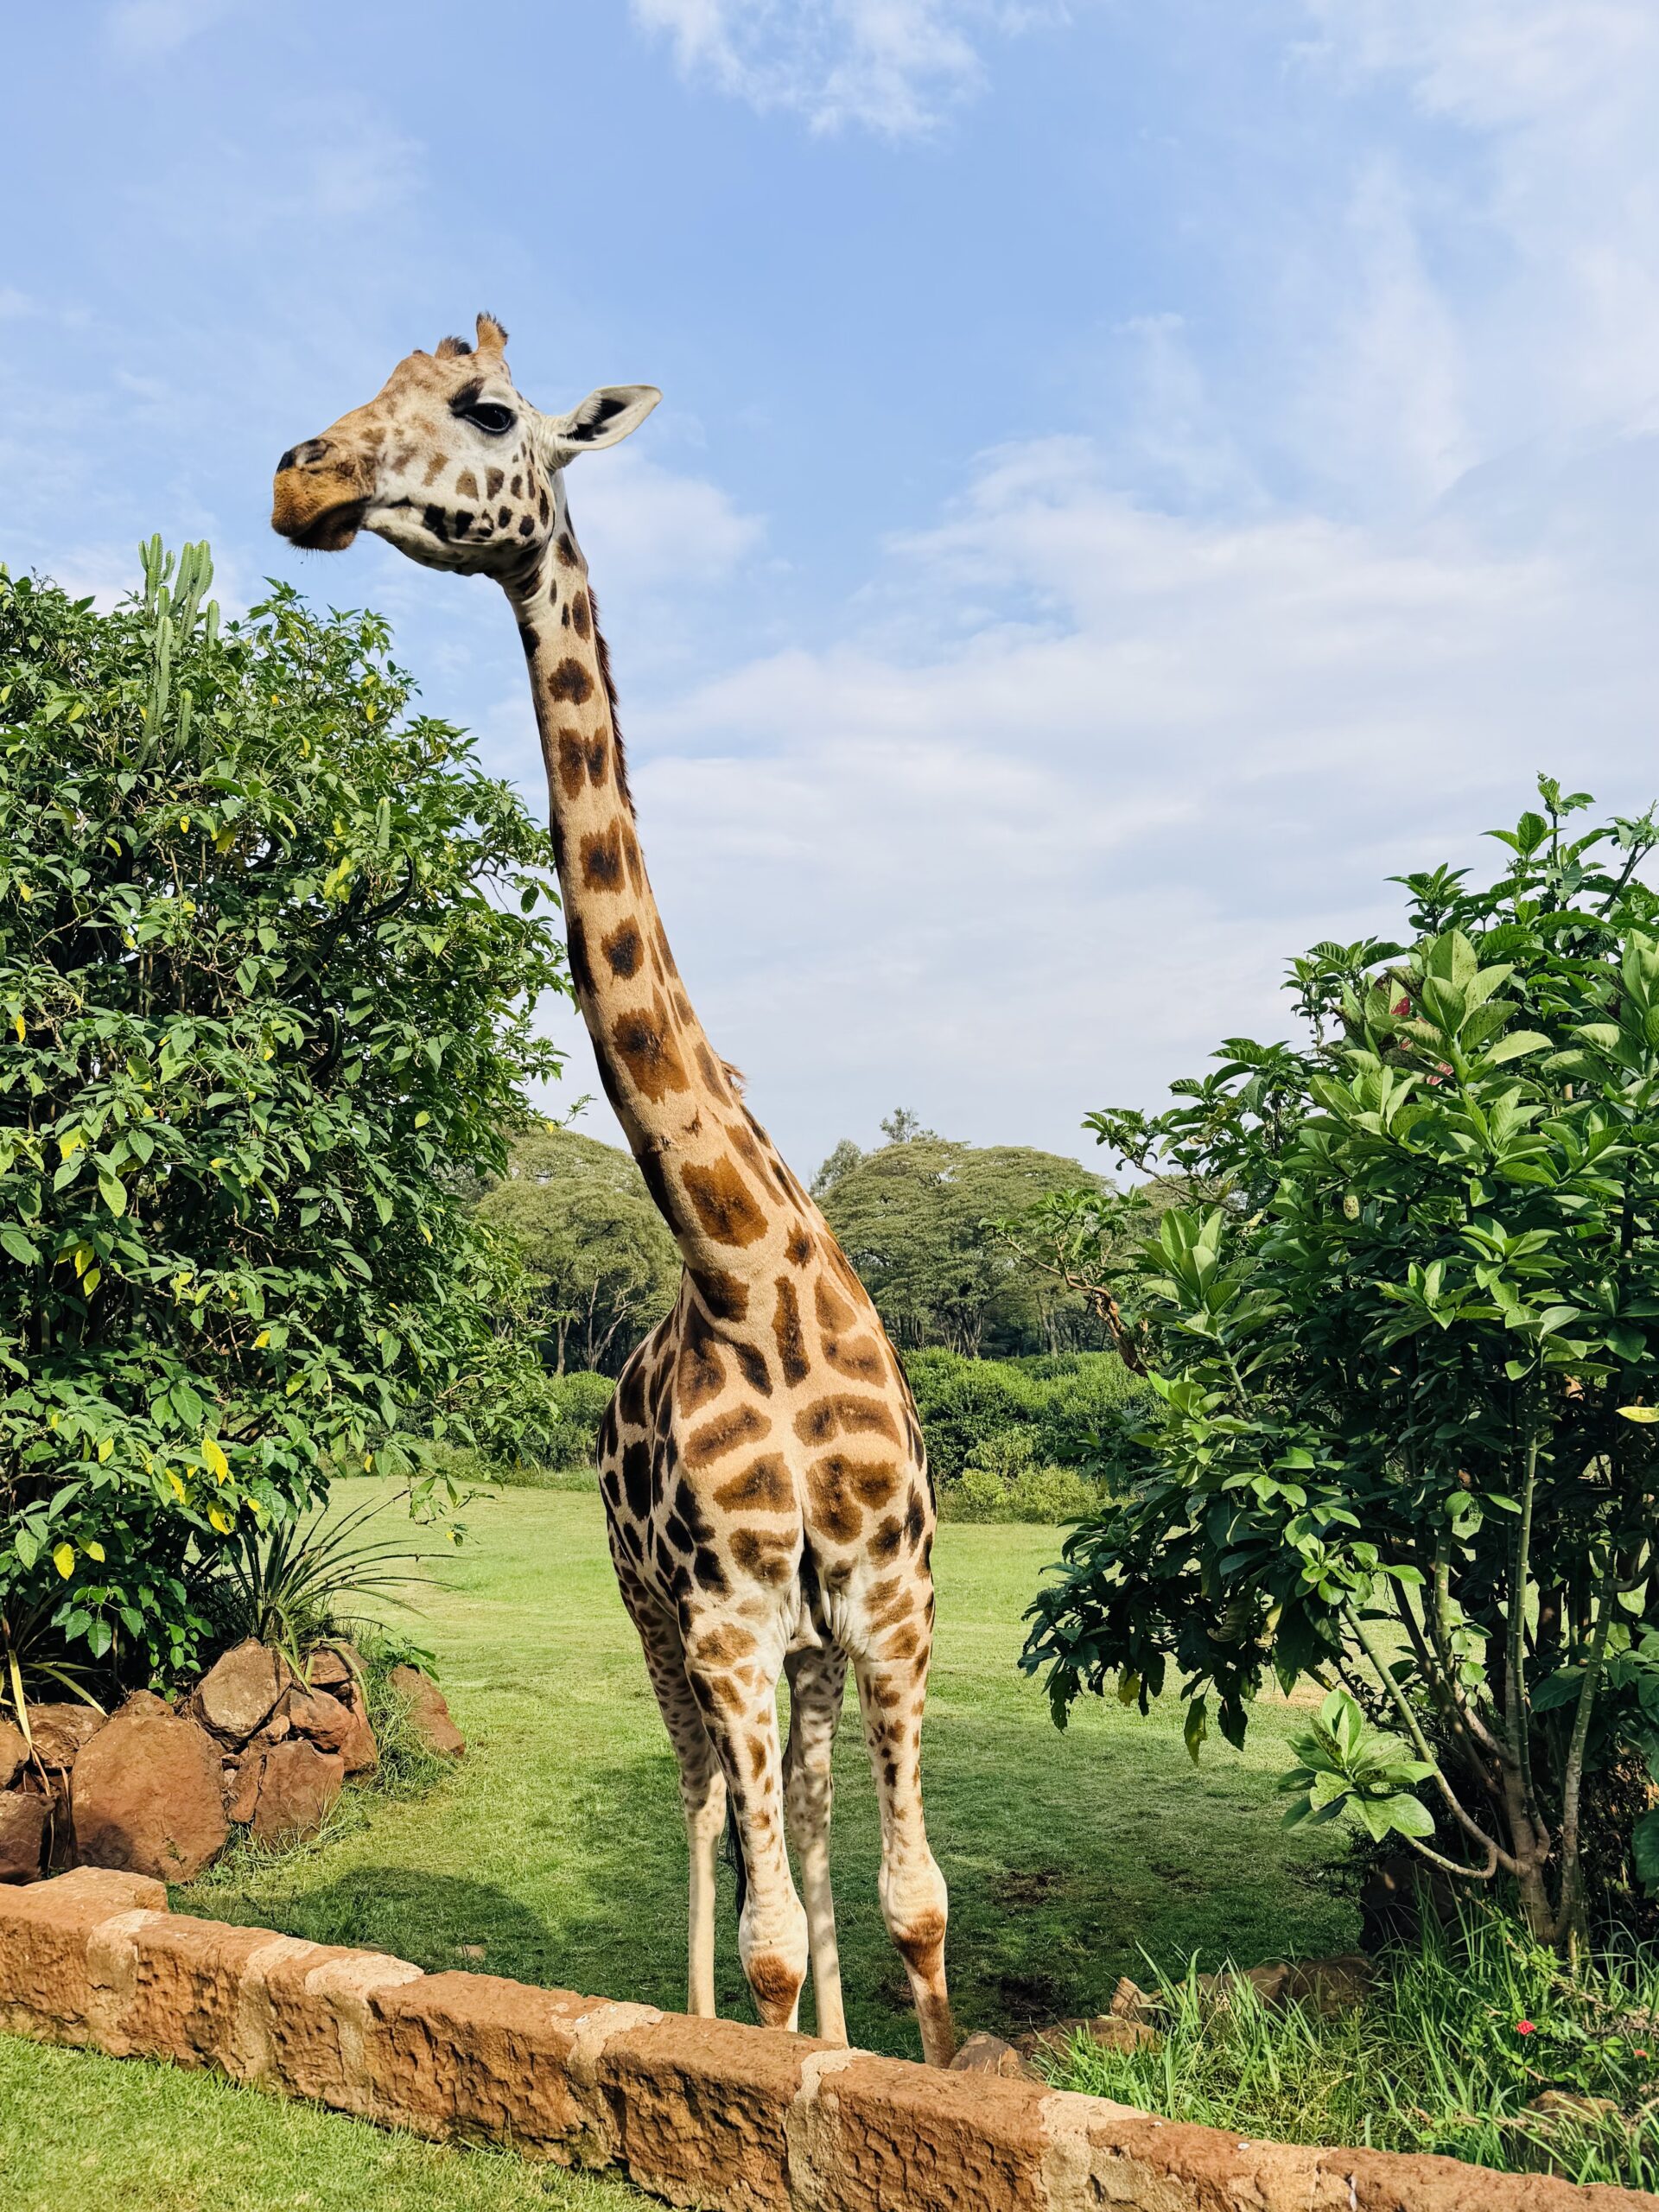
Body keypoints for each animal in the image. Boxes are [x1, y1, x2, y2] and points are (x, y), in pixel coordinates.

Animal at [271, 315, 956, 2066]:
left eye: (485, 410)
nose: (303, 477)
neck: (743, 1269)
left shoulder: (888, 1601)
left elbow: (914, 1905)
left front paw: (899, 2074)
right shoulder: (719, 1614)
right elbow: (770, 1939)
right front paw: (755, 2066)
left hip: (802, 1652)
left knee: (802, 1824)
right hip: (657, 1618)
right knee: (710, 1814)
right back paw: (699, 2013)